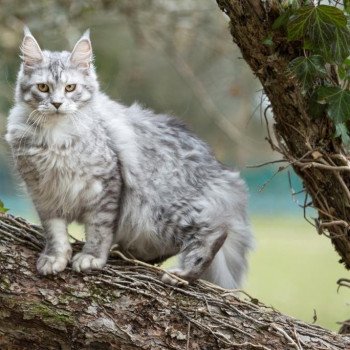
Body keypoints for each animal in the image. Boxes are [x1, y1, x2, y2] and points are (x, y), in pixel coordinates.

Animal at [4, 28, 252, 288]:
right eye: (43, 87)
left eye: (70, 87)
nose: (57, 103)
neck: (55, 137)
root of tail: (220, 171)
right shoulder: (44, 194)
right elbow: (55, 233)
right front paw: (54, 258)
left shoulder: (106, 186)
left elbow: (99, 230)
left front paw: (92, 257)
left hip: (161, 209)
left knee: (215, 231)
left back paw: (182, 274)